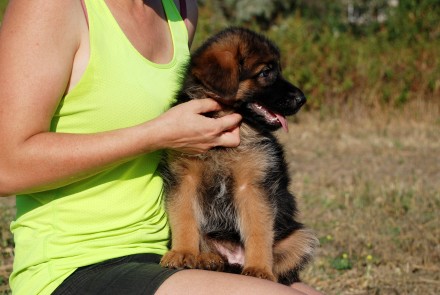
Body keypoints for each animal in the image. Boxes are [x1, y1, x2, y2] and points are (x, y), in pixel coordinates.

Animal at [160, 28, 318, 286]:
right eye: (266, 72)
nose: (302, 99)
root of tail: (233, 259)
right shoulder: (184, 179)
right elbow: (184, 218)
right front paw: (183, 252)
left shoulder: (252, 187)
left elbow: (258, 230)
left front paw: (259, 268)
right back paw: (209, 259)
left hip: (300, 238)